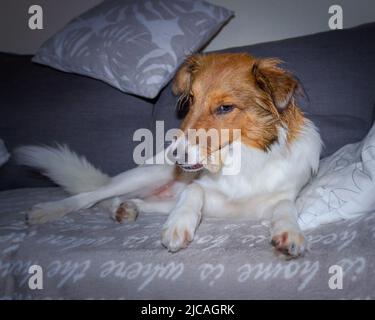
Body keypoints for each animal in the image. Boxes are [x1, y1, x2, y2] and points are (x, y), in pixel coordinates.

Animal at [16, 52, 324, 258]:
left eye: (225, 107)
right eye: (191, 100)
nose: (174, 156)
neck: (242, 158)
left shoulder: (278, 198)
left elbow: (286, 208)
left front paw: (291, 233)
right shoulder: (201, 188)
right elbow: (192, 192)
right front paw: (178, 226)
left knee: (123, 202)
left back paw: (127, 209)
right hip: (146, 174)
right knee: (93, 196)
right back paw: (48, 210)